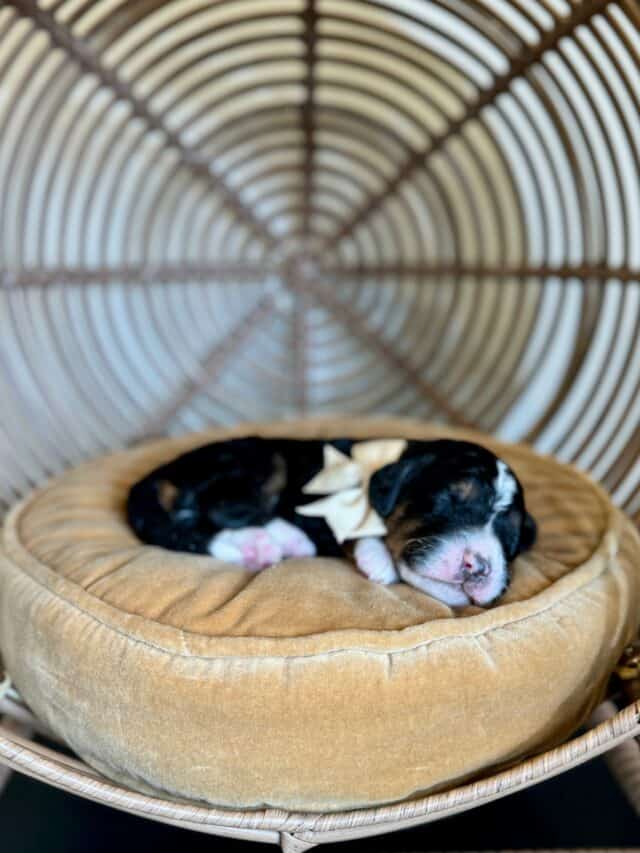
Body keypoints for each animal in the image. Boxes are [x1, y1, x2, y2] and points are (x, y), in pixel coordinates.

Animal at [127, 440, 536, 604]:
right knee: (210, 514)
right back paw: (270, 541)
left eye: (510, 534)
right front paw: (377, 557)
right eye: (450, 499)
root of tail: (156, 475)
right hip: (258, 464)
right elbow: (350, 525)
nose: (478, 566)